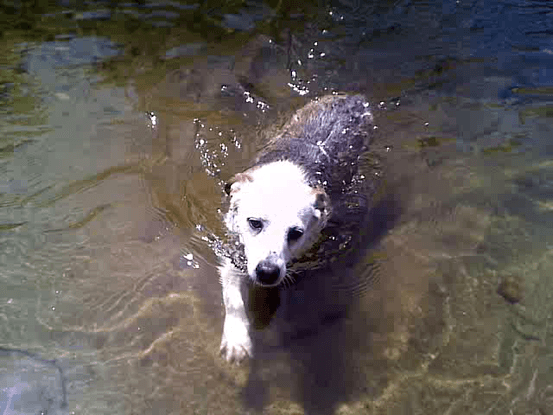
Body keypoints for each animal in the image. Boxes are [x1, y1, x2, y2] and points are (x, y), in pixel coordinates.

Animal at [218, 95, 374, 364]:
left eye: (295, 234)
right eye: (254, 222)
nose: (267, 272)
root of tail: (353, 97)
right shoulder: (234, 251)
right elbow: (232, 298)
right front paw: (237, 341)